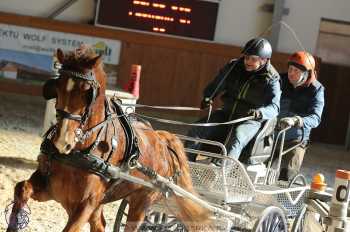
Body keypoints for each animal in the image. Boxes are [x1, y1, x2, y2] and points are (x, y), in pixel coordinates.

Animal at [6, 45, 211, 232]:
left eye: (87, 92)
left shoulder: (85, 204)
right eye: (58, 86)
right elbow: (21, 188)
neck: (84, 149)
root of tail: (163, 141)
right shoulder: (53, 189)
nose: (63, 142)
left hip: (141, 202)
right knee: (100, 225)